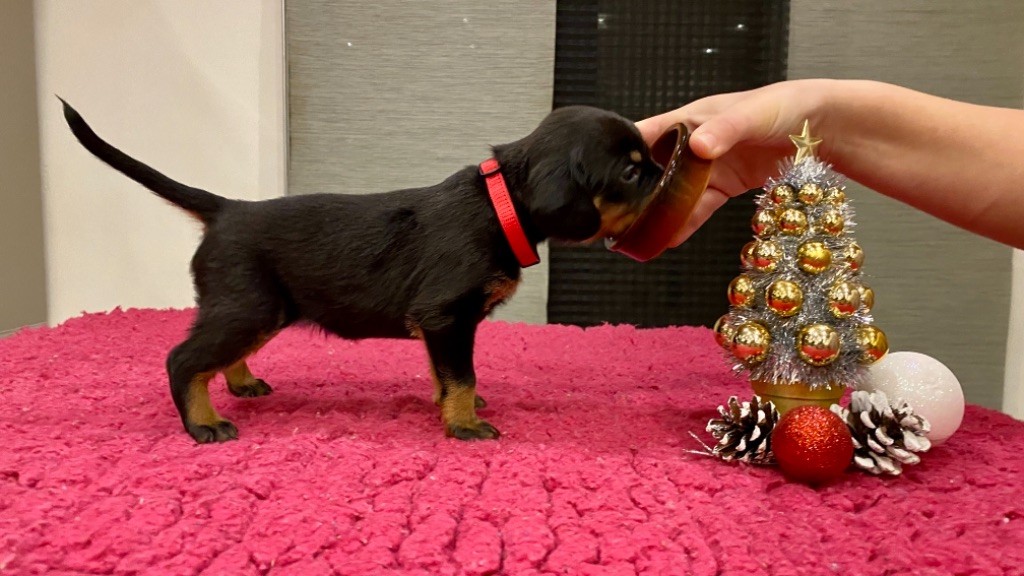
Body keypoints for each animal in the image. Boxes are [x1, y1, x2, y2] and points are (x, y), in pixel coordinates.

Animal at [60, 99, 664, 443]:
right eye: (631, 173)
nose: (664, 171)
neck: (501, 205)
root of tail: (228, 209)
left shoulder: (439, 325)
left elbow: (443, 372)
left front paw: (450, 407)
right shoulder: (447, 316)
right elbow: (461, 374)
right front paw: (464, 424)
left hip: (255, 310)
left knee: (215, 356)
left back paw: (241, 383)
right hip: (249, 307)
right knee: (183, 359)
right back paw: (203, 423)